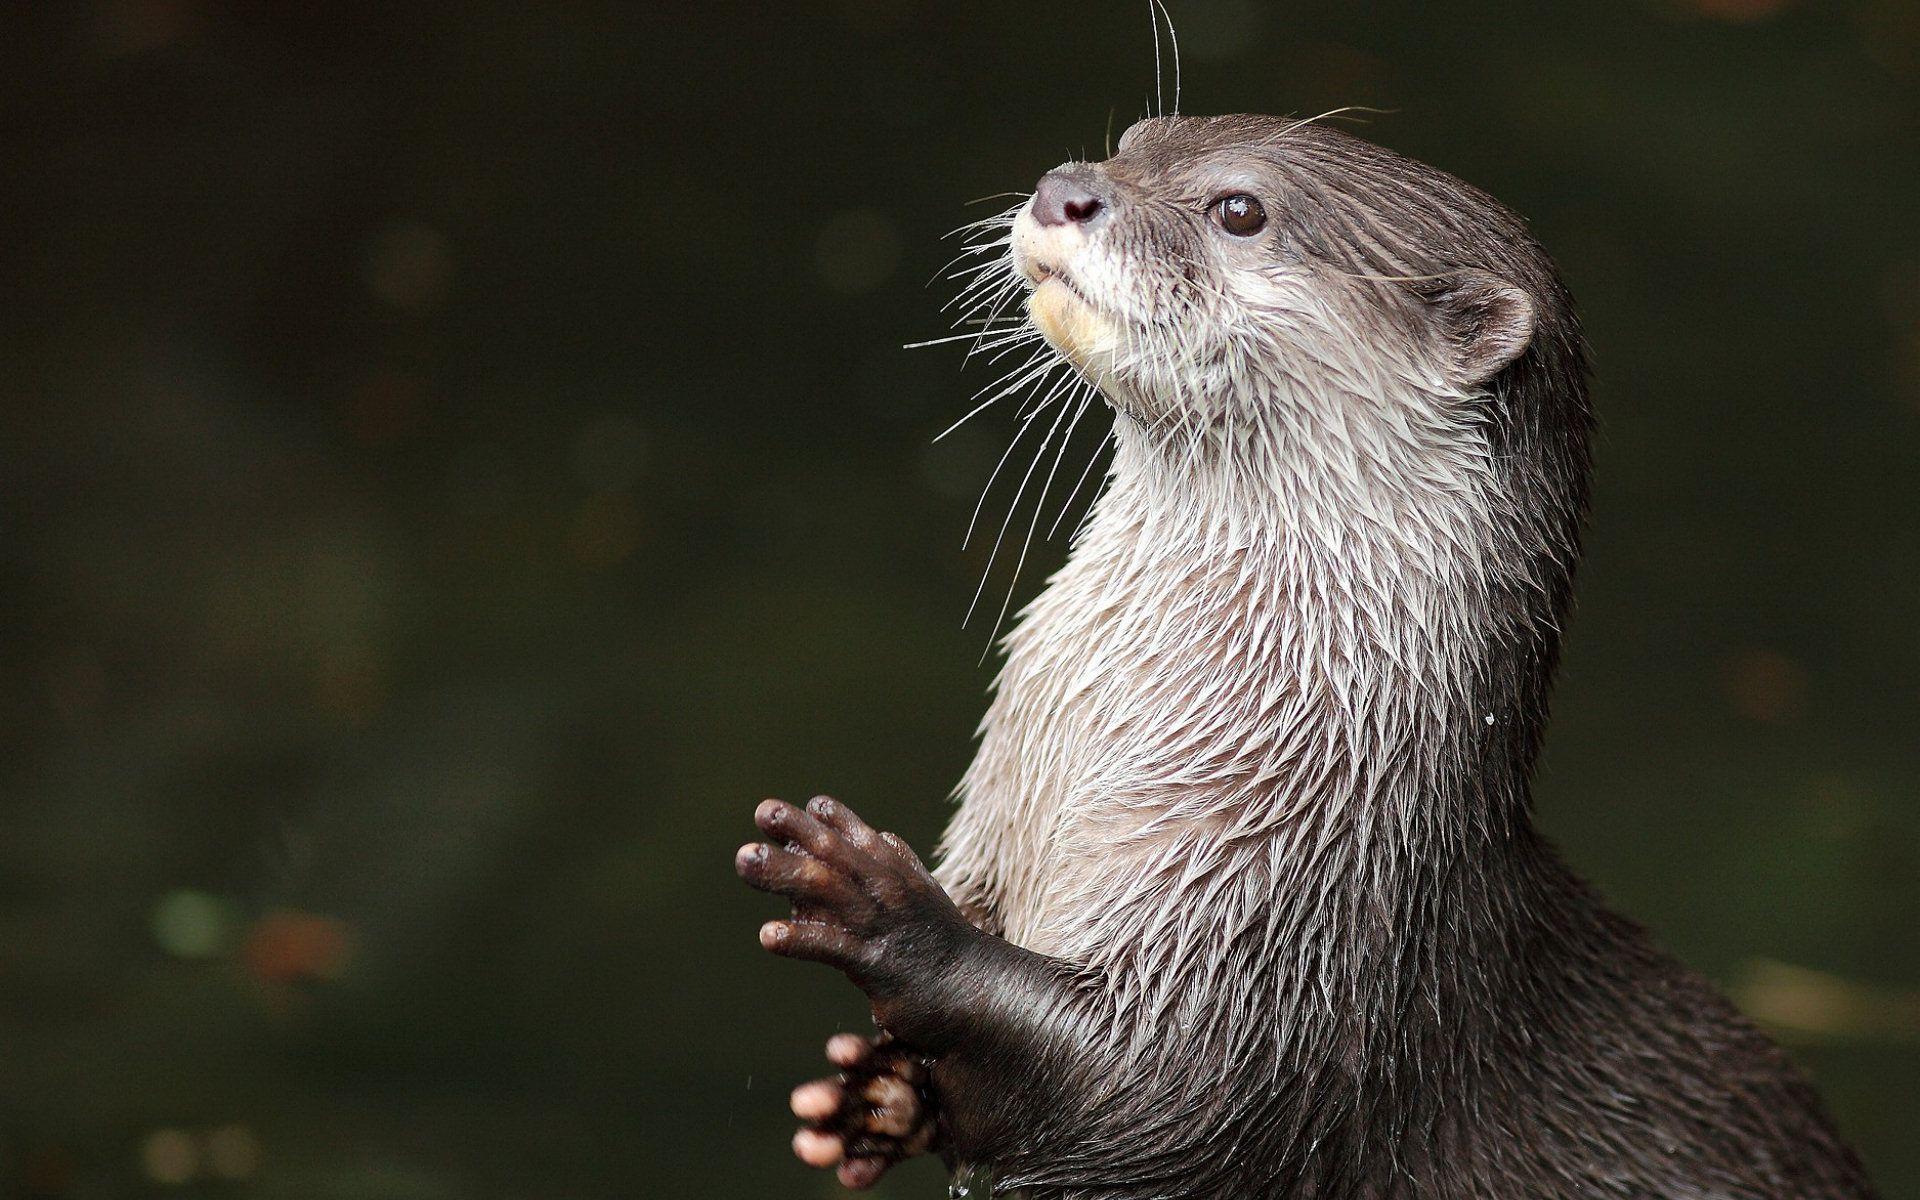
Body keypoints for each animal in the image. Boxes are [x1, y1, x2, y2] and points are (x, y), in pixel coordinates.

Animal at [736, 114, 1879, 1199]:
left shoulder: (1290, 951)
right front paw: (869, 1096)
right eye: (1135, 141)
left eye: (1239, 210)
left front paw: (880, 906)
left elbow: (1154, 1096)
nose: (1066, 188)